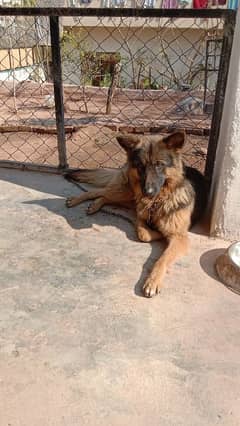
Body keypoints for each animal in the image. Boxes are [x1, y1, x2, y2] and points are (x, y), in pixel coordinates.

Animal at [64, 131, 207, 298]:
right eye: (140, 165)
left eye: (159, 164)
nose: (147, 192)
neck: (158, 201)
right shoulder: (141, 212)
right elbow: (143, 232)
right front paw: (156, 232)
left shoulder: (179, 238)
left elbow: (161, 258)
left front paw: (152, 281)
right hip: (127, 191)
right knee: (100, 191)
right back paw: (78, 200)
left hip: (128, 196)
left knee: (105, 195)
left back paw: (95, 204)